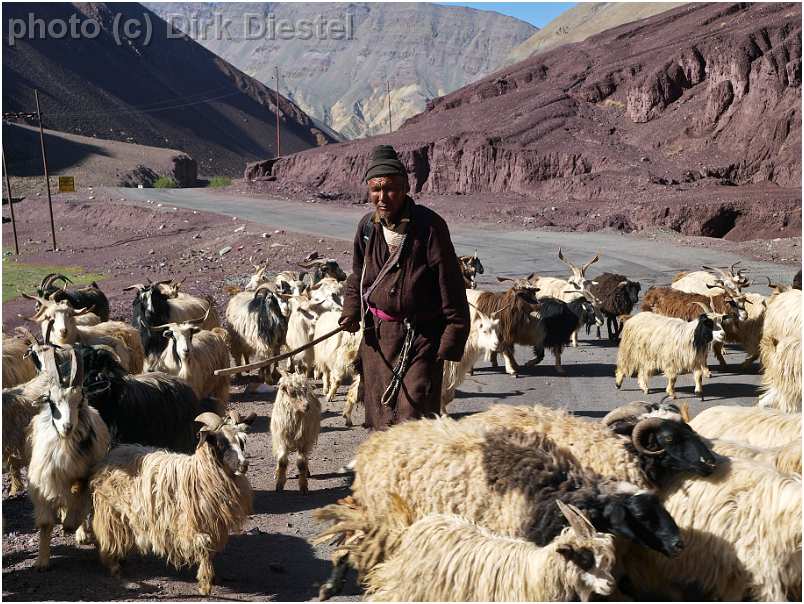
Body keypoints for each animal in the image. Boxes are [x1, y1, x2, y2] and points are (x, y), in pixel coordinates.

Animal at [26, 346, 110, 568]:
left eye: (80, 401)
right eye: (52, 402)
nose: (67, 426)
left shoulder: (85, 474)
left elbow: (79, 498)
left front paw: (71, 525)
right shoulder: (43, 482)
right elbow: (46, 523)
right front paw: (41, 562)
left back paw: (79, 531)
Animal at [88, 410, 253, 596]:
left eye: (242, 442)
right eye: (221, 443)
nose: (244, 464)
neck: (199, 474)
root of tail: (114, 451)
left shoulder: (212, 524)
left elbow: (209, 550)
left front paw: (209, 578)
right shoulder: (187, 524)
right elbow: (204, 545)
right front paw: (205, 584)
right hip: (110, 510)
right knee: (108, 534)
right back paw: (113, 566)